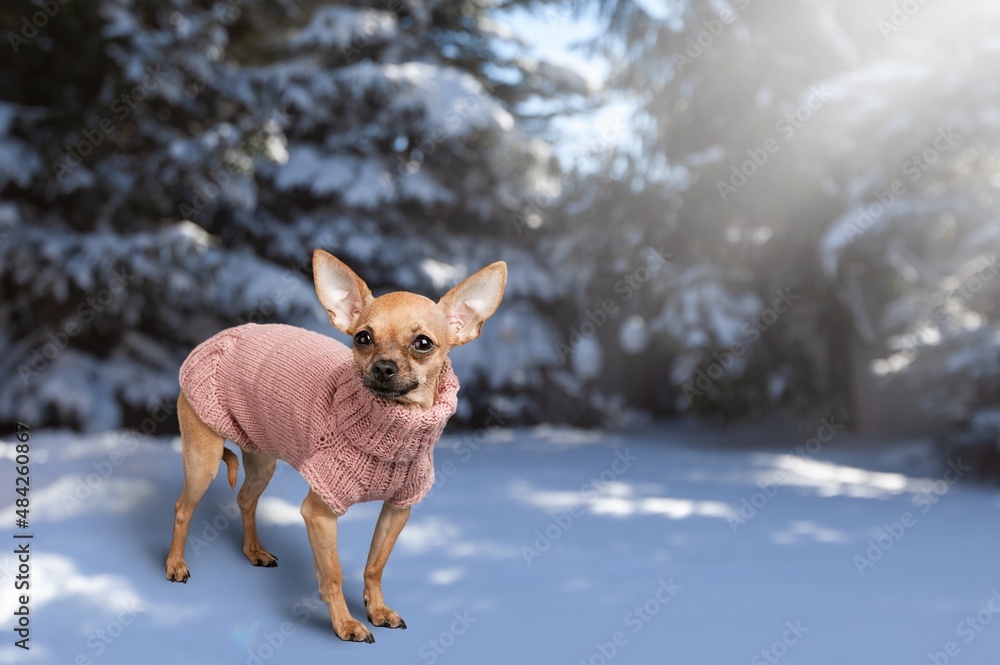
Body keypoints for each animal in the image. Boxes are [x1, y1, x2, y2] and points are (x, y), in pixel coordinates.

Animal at [167, 246, 508, 640]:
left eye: (423, 343)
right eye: (363, 338)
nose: (384, 367)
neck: (392, 430)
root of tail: (218, 338)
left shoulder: (397, 510)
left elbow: (375, 565)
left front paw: (377, 609)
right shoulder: (319, 514)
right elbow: (333, 573)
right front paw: (345, 624)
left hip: (262, 458)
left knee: (245, 499)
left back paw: (254, 551)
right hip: (203, 462)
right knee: (183, 508)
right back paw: (175, 564)